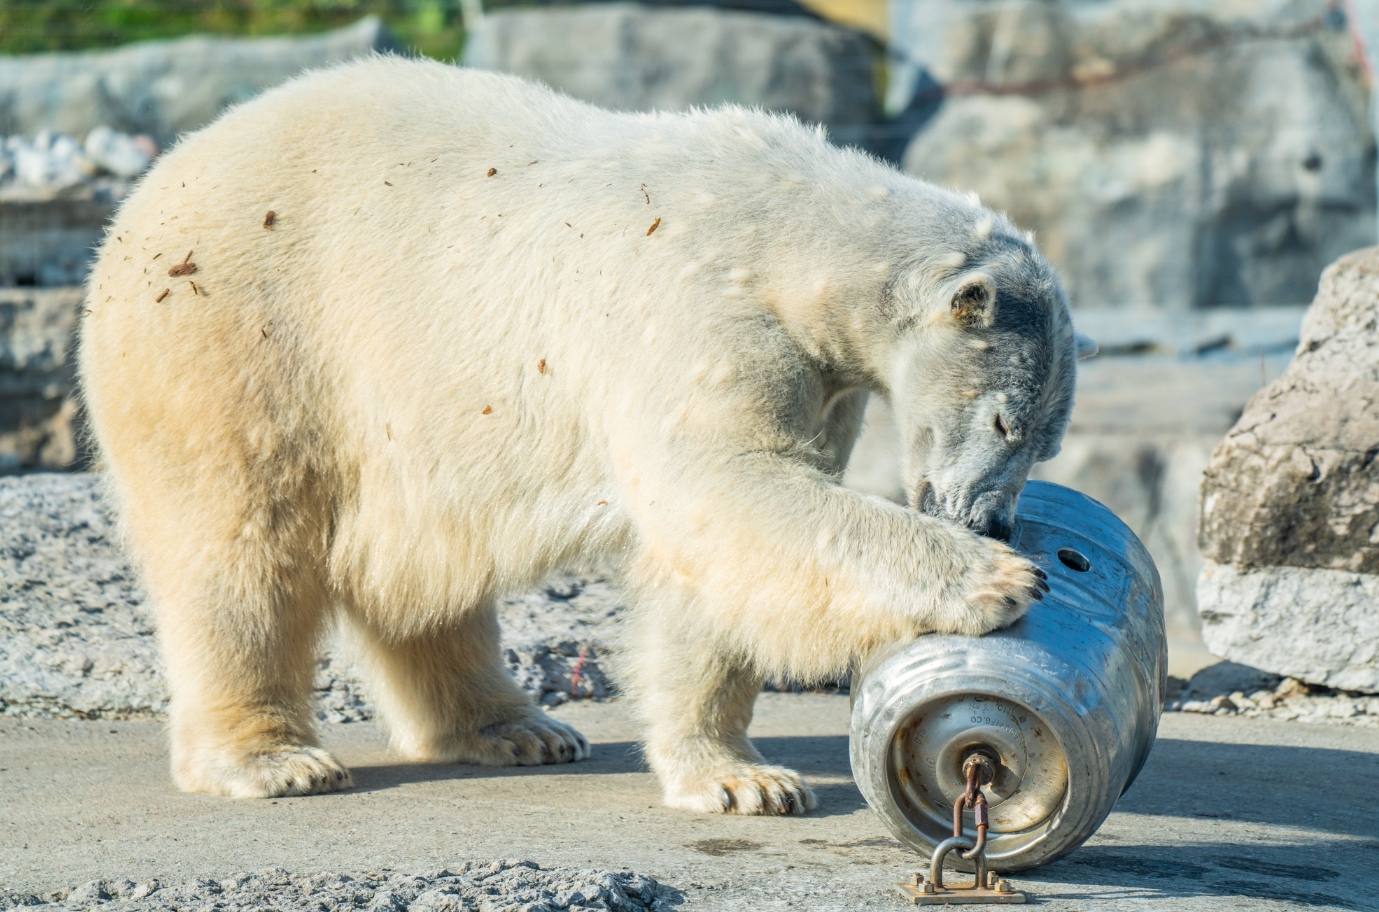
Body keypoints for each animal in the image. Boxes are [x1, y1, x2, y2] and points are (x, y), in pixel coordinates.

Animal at [78, 56, 1081, 813]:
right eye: (1004, 418)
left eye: (1047, 439)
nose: (991, 520)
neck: (787, 231)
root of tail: (145, 194)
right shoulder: (697, 311)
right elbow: (727, 490)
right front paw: (997, 582)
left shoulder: (818, 379)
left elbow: (708, 557)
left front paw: (740, 779)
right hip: (240, 337)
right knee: (240, 546)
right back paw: (272, 759)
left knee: (417, 573)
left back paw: (516, 727)